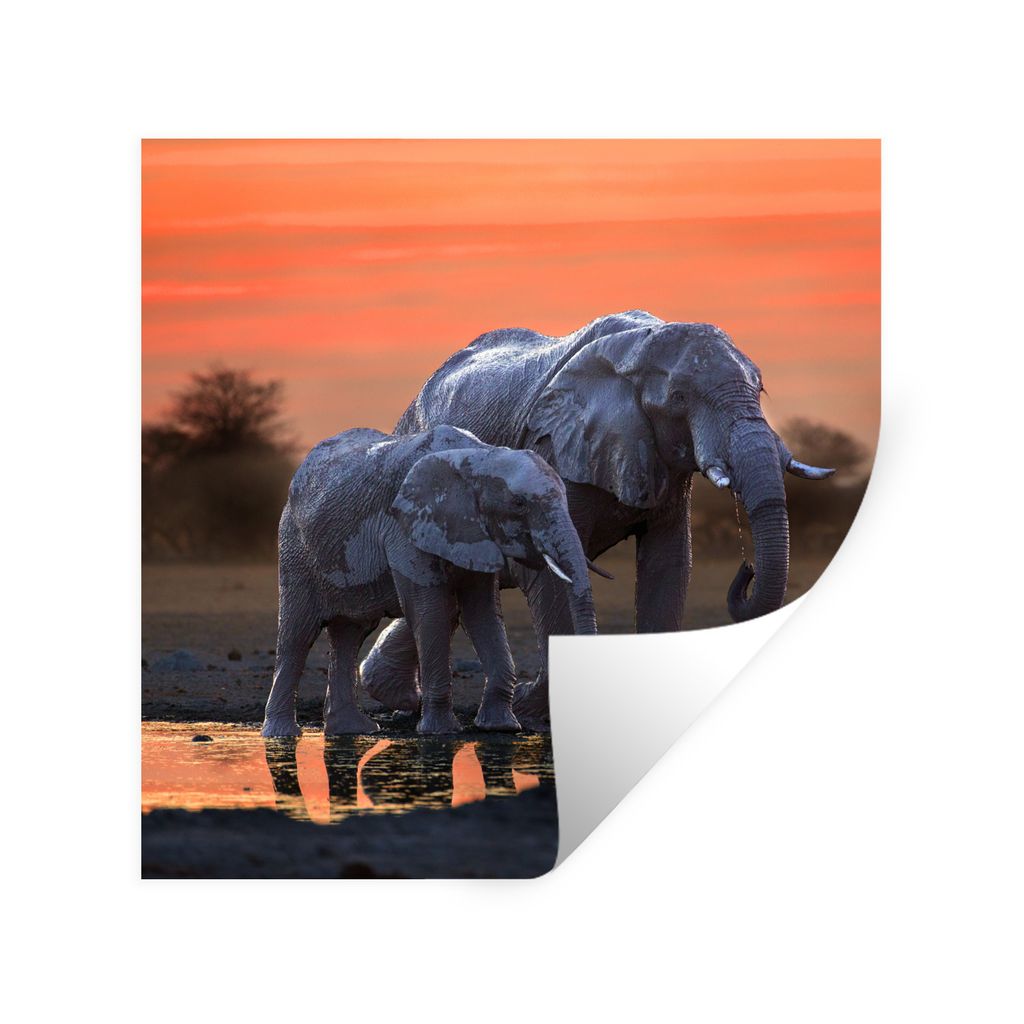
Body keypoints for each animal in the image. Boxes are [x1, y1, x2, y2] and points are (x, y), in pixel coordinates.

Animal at [260, 424, 599, 738]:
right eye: (519, 504)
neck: (480, 456)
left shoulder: (474, 532)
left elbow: (483, 612)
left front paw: (501, 727)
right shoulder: (406, 525)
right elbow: (429, 610)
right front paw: (441, 732)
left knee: (350, 633)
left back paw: (353, 731)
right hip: (295, 549)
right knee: (298, 634)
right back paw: (282, 735)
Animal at [361, 310, 835, 729]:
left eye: (760, 389)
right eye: (679, 398)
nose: (747, 569)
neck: (640, 347)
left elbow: (668, 564)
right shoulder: (554, 448)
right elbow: (554, 575)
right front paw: (539, 712)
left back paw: (395, 695)